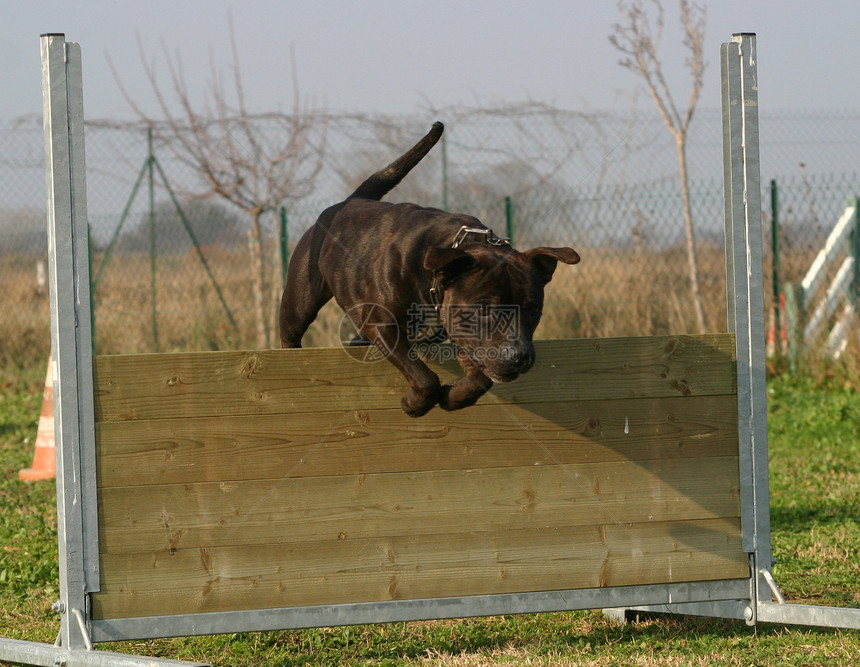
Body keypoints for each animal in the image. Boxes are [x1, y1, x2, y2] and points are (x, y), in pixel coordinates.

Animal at [278, 122, 580, 414]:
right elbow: (424, 376)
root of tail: (350, 201)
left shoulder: (462, 334)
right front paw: (416, 404)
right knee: (290, 334)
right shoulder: (382, 322)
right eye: (483, 310)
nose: (517, 356)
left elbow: (480, 378)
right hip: (300, 302)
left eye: (533, 310)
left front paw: (454, 397)